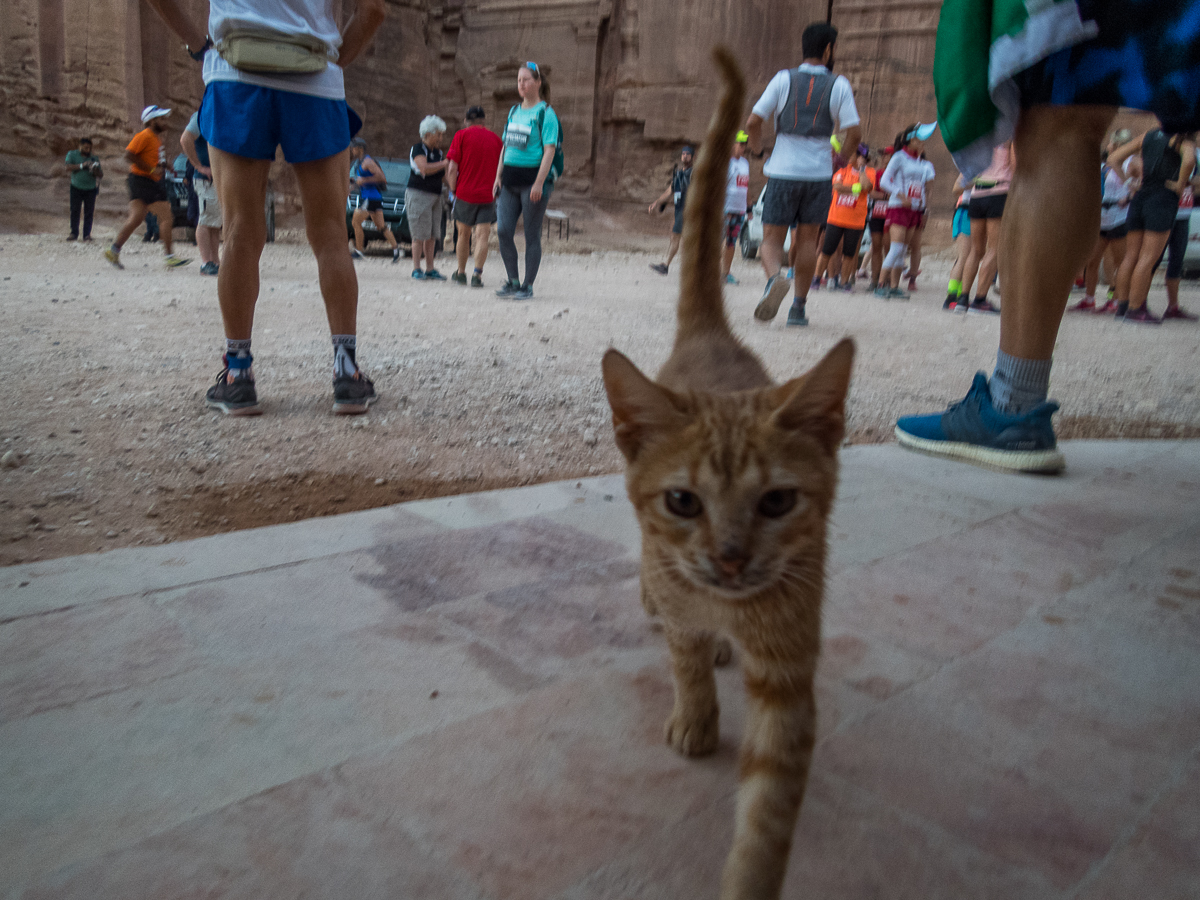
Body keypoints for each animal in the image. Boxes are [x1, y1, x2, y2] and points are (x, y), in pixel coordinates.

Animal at [600, 49, 854, 900]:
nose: (733, 558)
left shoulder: (789, 667)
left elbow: (769, 808)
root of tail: (712, 333)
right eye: (684, 501)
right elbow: (683, 656)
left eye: (777, 501)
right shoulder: (682, 588)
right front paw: (696, 717)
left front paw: (751, 872)